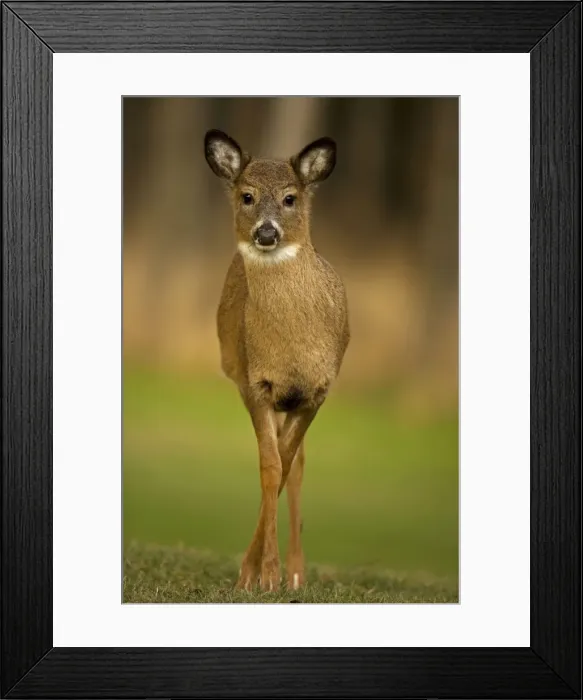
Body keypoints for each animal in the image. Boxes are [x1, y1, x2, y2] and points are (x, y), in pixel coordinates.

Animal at [204, 129, 350, 592]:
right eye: (247, 195)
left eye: (290, 197)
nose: (266, 232)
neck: (293, 353)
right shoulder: (256, 384)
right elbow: (270, 468)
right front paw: (259, 575)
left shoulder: (316, 391)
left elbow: (285, 466)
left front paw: (270, 573)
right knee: (288, 463)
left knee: (298, 464)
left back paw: (299, 572)